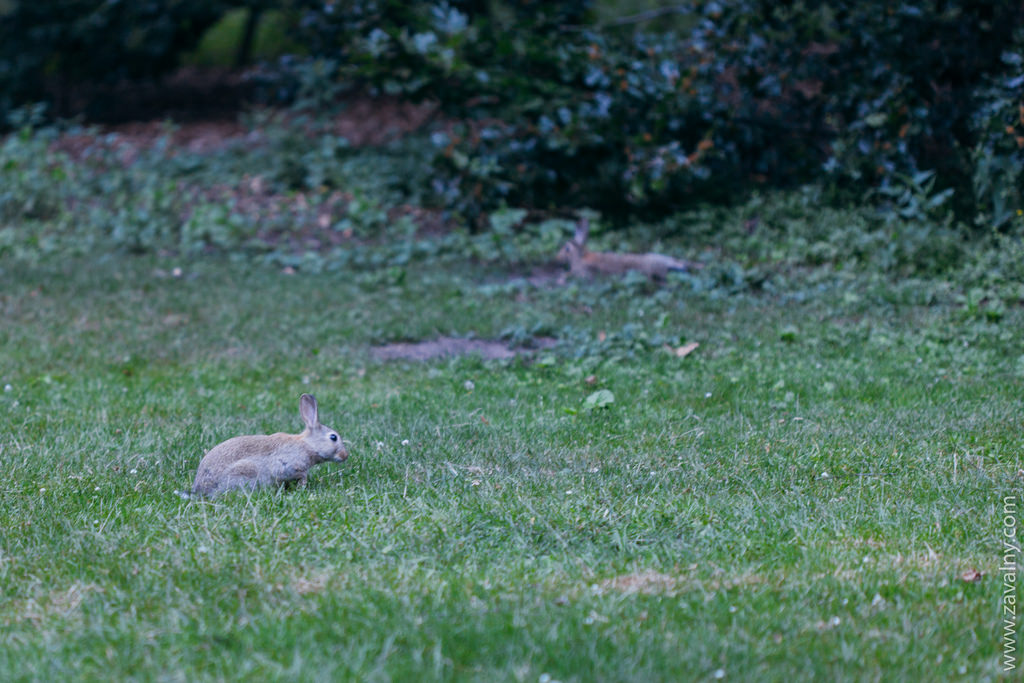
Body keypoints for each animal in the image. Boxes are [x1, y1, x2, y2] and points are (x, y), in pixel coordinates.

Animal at [191, 393, 349, 498]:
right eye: (333, 437)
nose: (345, 455)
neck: (307, 445)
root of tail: (201, 487)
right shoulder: (287, 466)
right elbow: (300, 474)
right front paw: (302, 486)